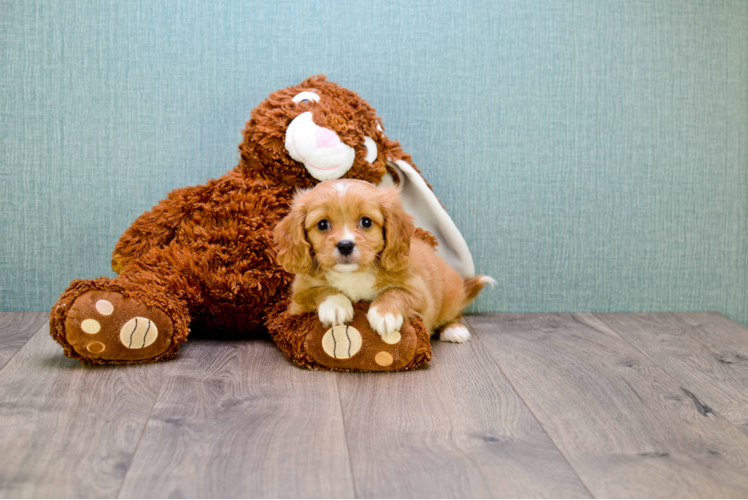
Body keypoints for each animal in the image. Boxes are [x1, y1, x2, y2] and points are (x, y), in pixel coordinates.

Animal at [272, 180, 494, 344]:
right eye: (322, 224)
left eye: (366, 222)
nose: (345, 245)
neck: (353, 274)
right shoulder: (298, 297)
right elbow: (322, 289)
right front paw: (336, 305)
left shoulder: (421, 294)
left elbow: (395, 291)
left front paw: (384, 313)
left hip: (450, 297)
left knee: (453, 314)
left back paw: (453, 330)